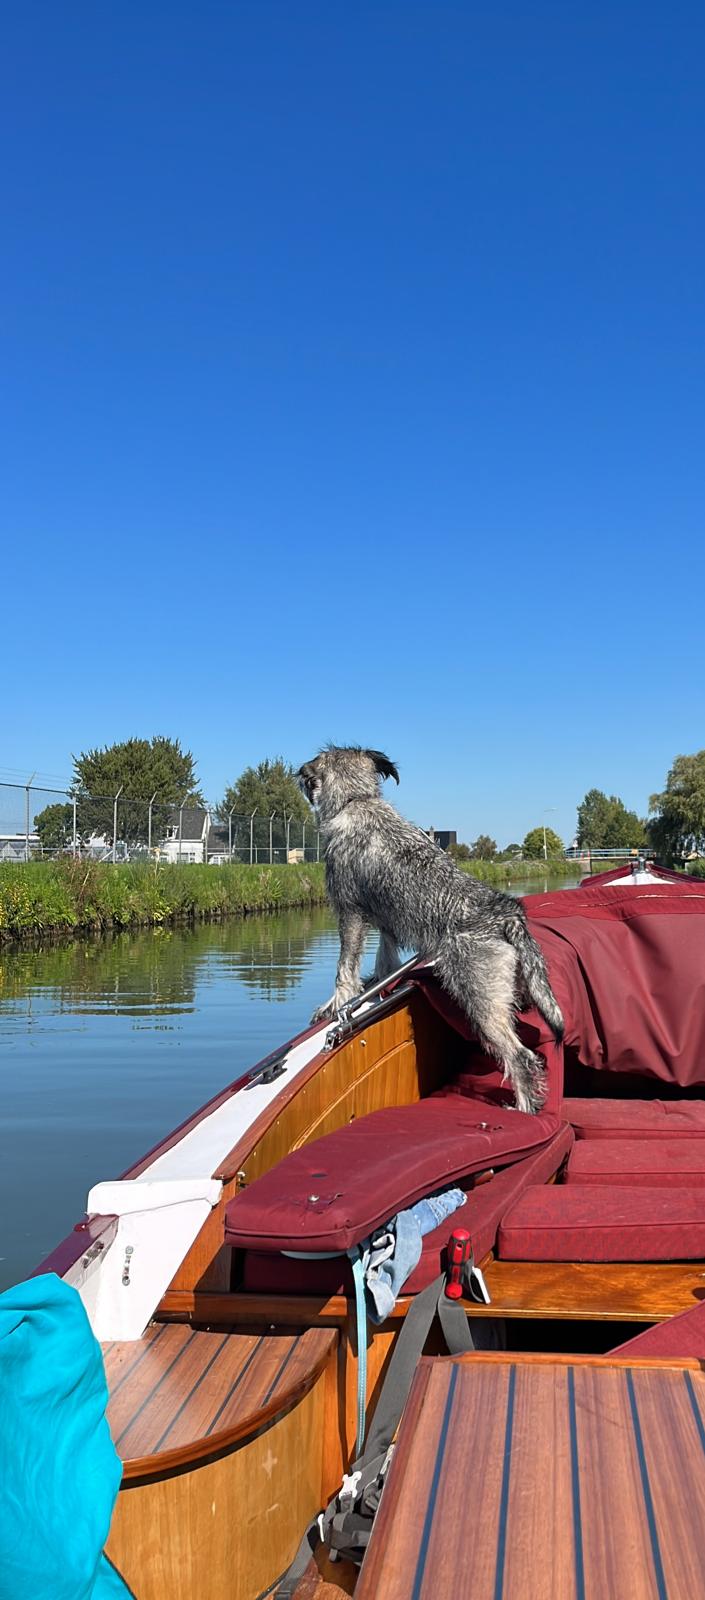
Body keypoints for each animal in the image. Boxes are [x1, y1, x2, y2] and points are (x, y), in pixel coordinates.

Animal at [298, 745, 562, 1113]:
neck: (357, 800)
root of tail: (508, 916)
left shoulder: (350, 913)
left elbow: (344, 969)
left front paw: (336, 1005)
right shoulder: (387, 923)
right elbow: (385, 960)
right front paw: (378, 984)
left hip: (481, 1002)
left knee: (519, 1057)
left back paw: (522, 1109)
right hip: (514, 994)